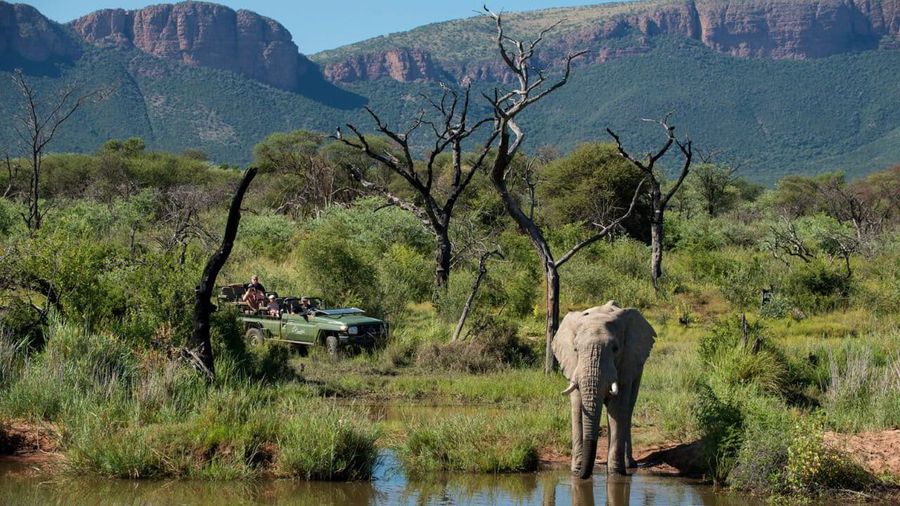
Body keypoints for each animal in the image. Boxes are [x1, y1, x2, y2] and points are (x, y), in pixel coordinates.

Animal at [552, 300, 656, 479]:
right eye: (575, 349)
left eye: (615, 349)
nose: (583, 474)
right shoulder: (574, 365)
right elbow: (577, 408)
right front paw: (576, 471)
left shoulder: (625, 364)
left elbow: (617, 408)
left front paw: (616, 474)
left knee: (628, 409)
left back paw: (629, 464)